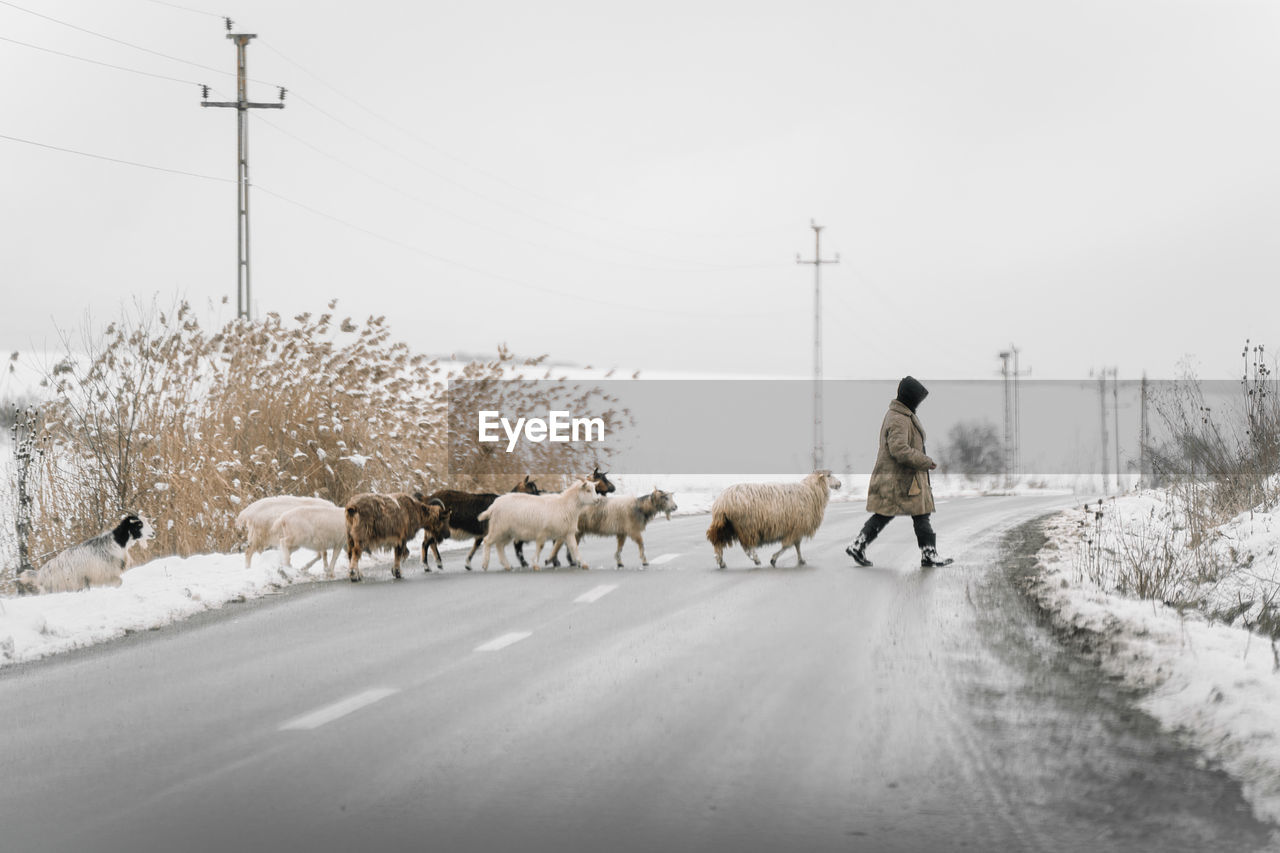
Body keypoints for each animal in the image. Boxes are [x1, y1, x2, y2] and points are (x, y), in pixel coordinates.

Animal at [15, 512, 154, 591]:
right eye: (139, 525)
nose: (153, 533)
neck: (116, 542)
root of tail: (40, 574)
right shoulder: (103, 574)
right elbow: (119, 582)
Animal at [706, 468, 844, 568]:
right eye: (829, 476)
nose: (840, 483)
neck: (811, 491)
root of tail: (722, 502)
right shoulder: (796, 527)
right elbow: (788, 546)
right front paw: (774, 559)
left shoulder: (795, 528)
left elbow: (797, 546)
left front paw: (801, 560)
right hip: (745, 526)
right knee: (747, 547)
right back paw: (755, 559)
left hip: (727, 526)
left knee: (718, 543)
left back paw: (721, 562)